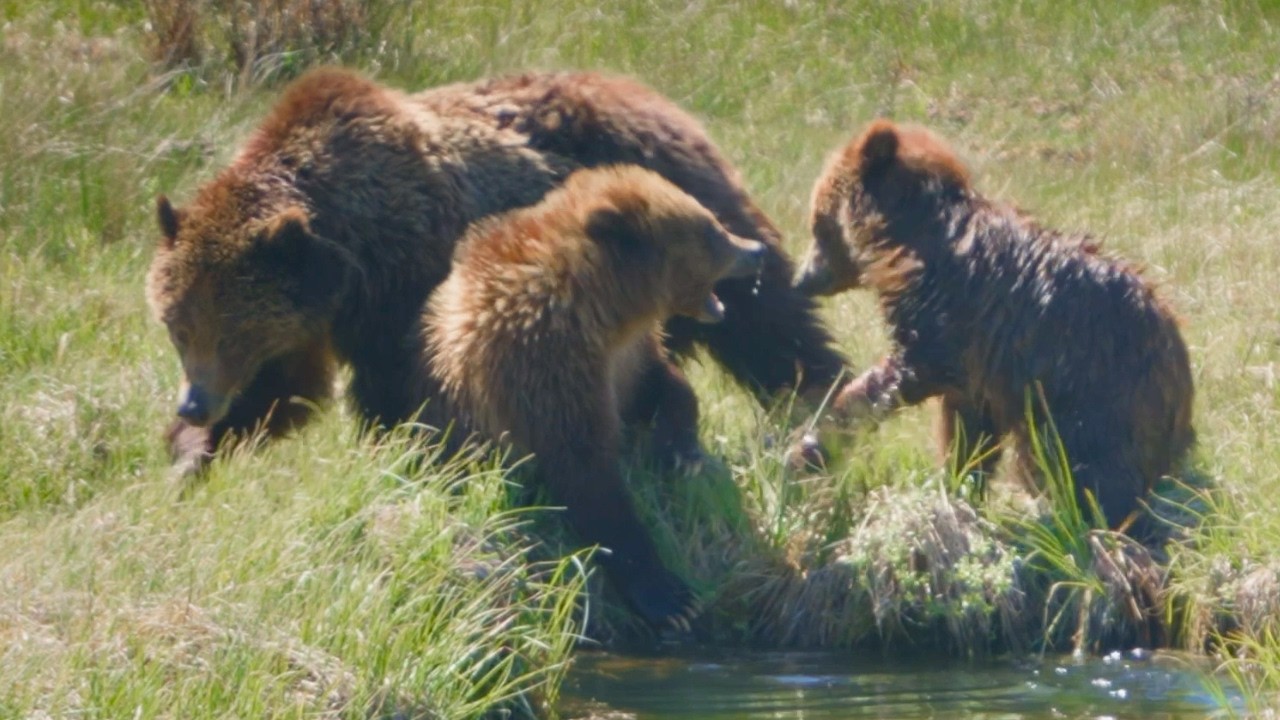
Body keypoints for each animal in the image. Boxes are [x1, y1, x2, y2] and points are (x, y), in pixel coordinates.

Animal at [147, 67, 848, 471]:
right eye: (178, 327)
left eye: (230, 330)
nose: (193, 404)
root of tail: (651, 93)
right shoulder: (315, 317)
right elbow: (287, 390)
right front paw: (192, 455)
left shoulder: (408, 280)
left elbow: (403, 384)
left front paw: (412, 448)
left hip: (689, 213)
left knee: (765, 321)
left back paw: (817, 390)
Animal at [421, 165, 766, 630]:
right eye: (711, 229)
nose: (757, 249)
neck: (606, 312)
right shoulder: (547, 366)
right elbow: (586, 472)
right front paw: (672, 598)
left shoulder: (628, 358)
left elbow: (664, 385)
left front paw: (681, 450)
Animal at [791, 119, 1195, 530]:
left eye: (817, 223)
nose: (802, 279)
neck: (902, 244)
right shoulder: (979, 367)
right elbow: (968, 428)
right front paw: (959, 482)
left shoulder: (949, 317)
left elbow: (902, 375)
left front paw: (813, 442)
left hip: (1095, 392)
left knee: (1075, 462)